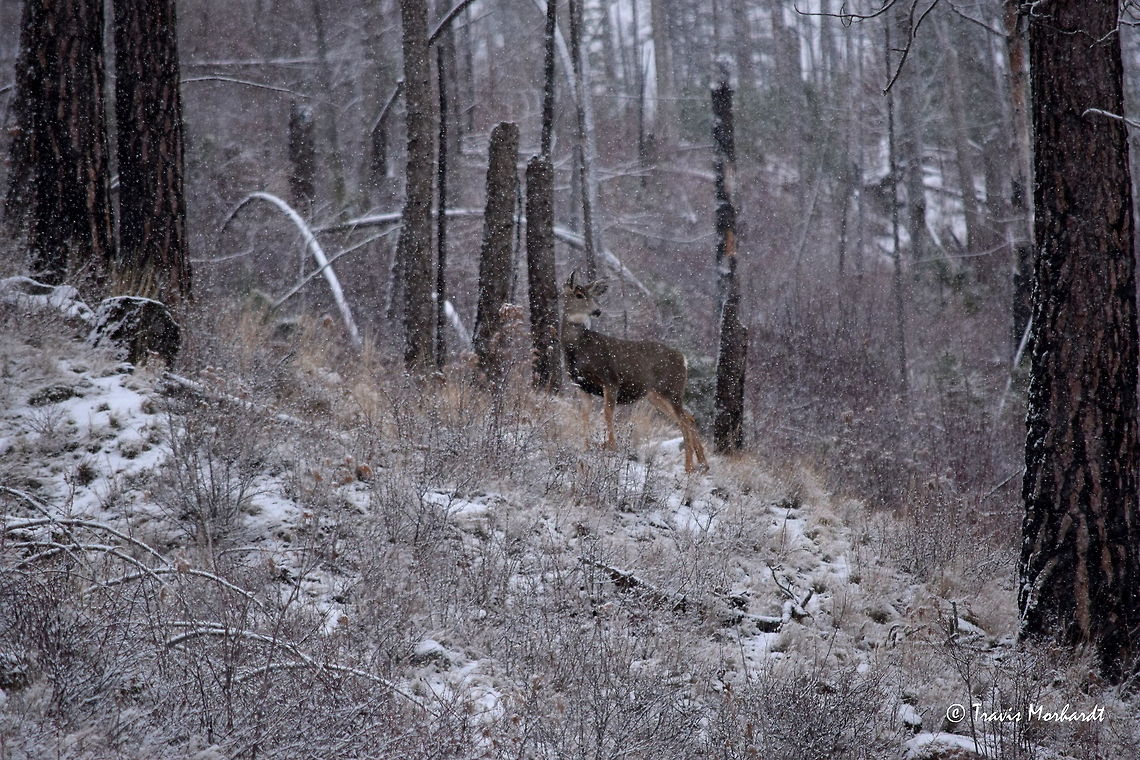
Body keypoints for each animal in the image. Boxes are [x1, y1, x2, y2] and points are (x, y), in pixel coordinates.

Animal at [561, 272, 709, 473]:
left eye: (592, 295)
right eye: (579, 295)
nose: (598, 311)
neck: (577, 348)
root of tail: (684, 359)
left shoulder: (611, 379)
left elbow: (607, 413)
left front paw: (611, 446)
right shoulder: (581, 385)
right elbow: (585, 415)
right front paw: (586, 446)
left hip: (671, 389)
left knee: (684, 422)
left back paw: (689, 467)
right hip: (655, 395)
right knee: (689, 418)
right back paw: (703, 464)